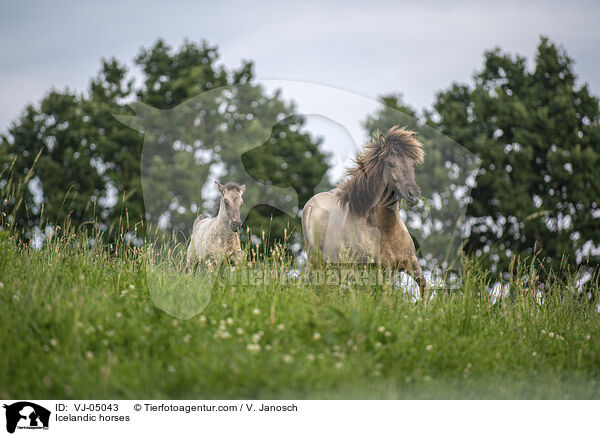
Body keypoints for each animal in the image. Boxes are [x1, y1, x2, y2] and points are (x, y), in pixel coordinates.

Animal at [300, 127, 426, 294]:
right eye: (390, 163)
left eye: (412, 164)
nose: (414, 195)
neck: (387, 229)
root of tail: (310, 206)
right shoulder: (379, 270)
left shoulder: (410, 264)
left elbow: (425, 289)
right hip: (319, 263)